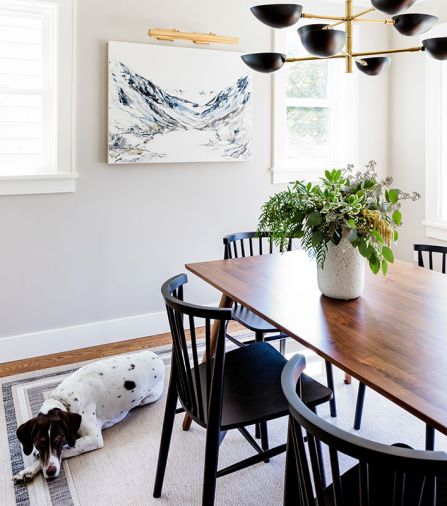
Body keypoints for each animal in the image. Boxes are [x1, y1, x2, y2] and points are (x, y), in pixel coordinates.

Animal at [13, 350, 165, 484]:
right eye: (38, 442)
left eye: (59, 438)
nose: (51, 472)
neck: (63, 400)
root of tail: (157, 357)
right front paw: (28, 470)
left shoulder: (93, 438)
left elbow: (64, 450)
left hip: (147, 399)